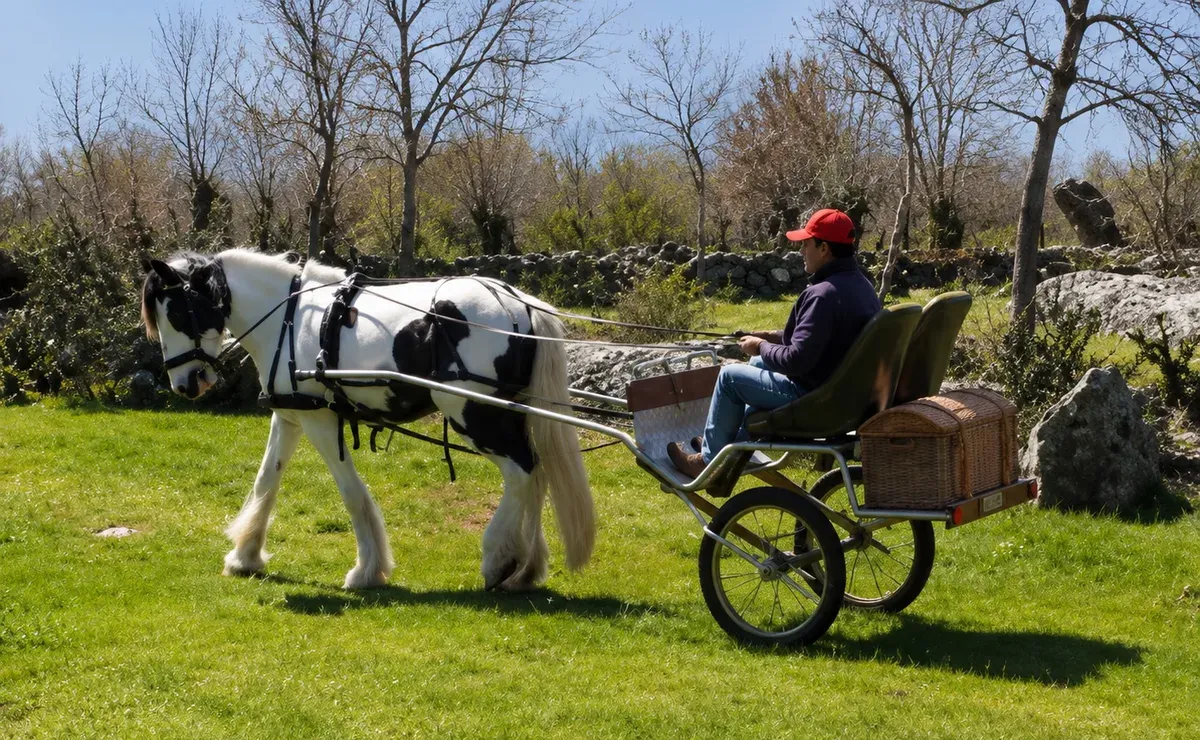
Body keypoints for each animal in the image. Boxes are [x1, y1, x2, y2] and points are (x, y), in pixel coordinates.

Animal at [139, 248, 595, 592]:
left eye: (174, 314)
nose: (184, 383)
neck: (288, 318)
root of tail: (519, 303)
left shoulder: (322, 421)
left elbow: (351, 493)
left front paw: (366, 570)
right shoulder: (291, 416)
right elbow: (266, 482)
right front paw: (245, 555)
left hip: (473, 412)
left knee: (522, 471)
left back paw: (499, 558)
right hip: (511, 412)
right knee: (537, 475)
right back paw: (527, 569)